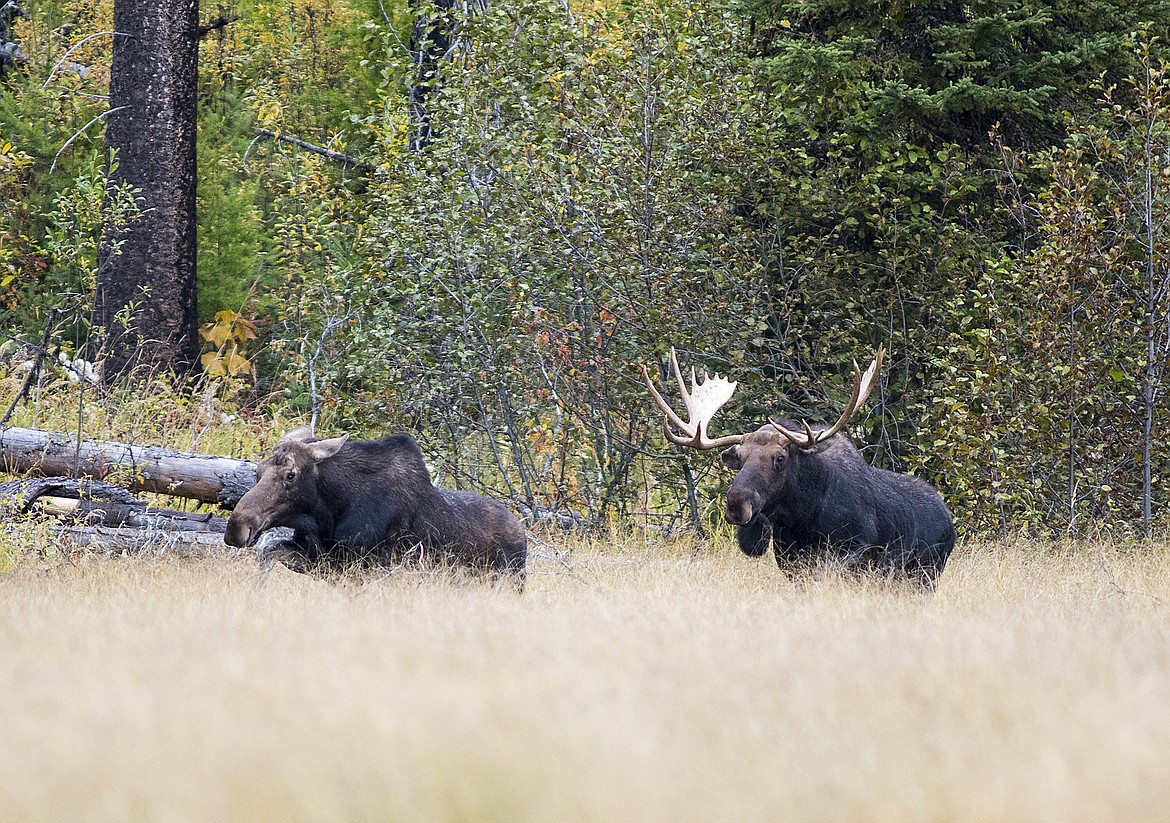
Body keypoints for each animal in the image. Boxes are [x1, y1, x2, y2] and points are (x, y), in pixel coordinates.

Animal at [223, 426, 526, 585]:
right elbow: (269, 554)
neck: (326, 517)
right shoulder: (322, 561)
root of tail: (523, 535)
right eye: (257, 472)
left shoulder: (368, 569)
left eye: (291, 475)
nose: (237, 527)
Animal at [645, 346, 954, 585]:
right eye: (740, 458)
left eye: (780, 458)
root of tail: (949, 522)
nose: (736, 503)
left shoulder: (855, 547)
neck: (802, 516)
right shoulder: (788, 558)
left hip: (925, 576)